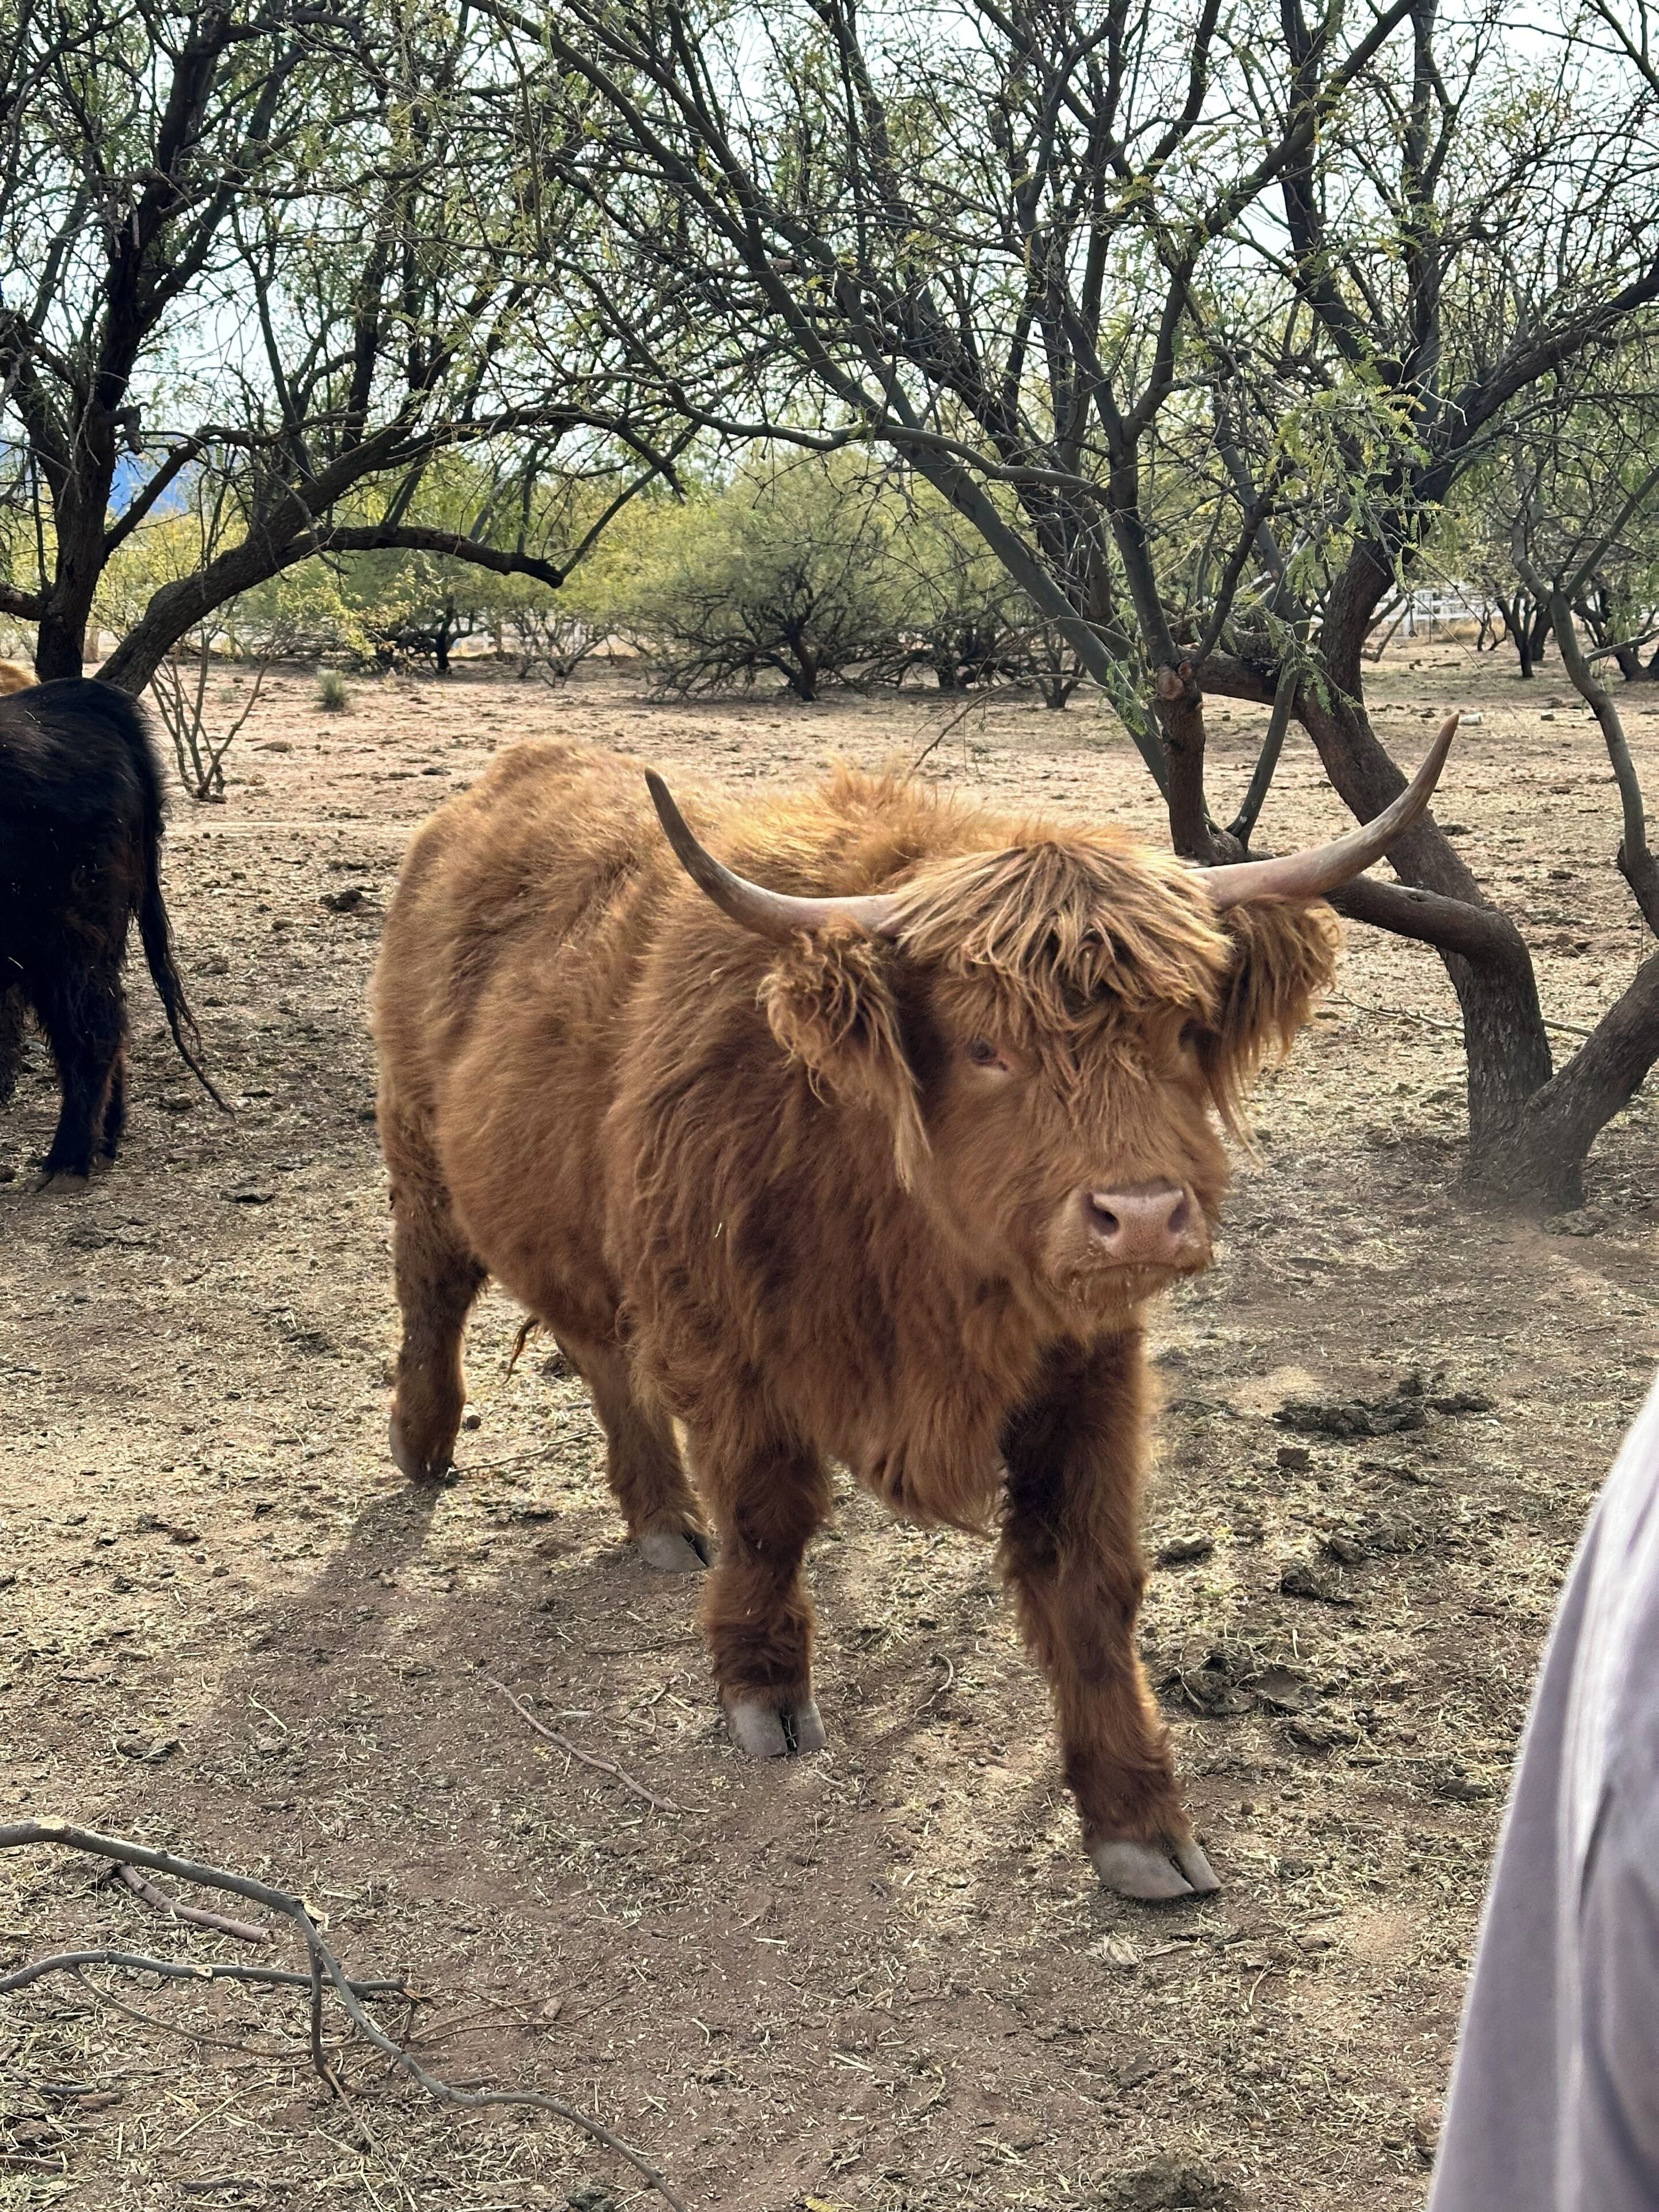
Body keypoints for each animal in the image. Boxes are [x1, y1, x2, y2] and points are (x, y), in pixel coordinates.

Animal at [373, 718, 1455, 1900]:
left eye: (1179, 1030)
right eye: (986, 1047)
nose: (1143, 1215)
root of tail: (513, 774)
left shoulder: (1085, 1367)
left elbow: (1090, 1581)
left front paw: (1140, 1820)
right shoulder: (731, 1347)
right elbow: (770, 1516)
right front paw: (764, 1690)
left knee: (602, 1354)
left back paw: (662, 1519)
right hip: (420, 1143)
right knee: (435, 1284)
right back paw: (424, 1443)